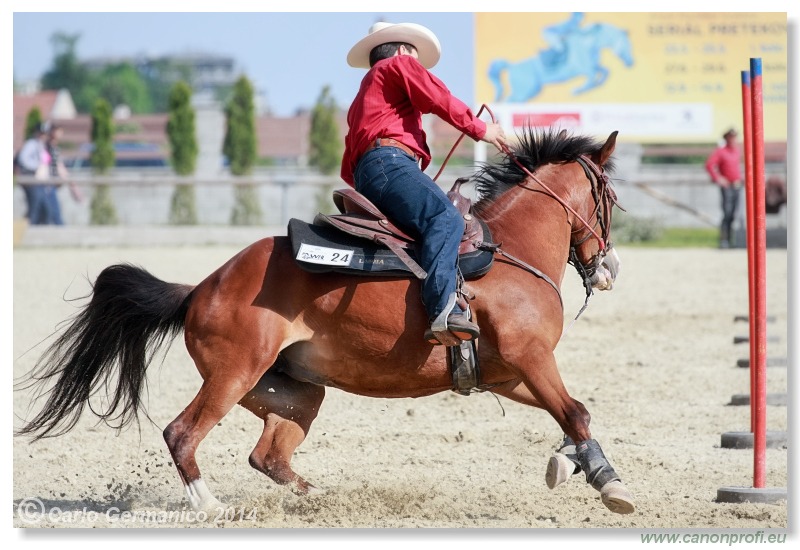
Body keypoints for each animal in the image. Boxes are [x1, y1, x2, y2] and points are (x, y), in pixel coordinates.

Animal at [15, 128, 636, 516]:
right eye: (610, 197)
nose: (609, 268)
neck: (510, 250)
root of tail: (202, 288)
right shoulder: (532, 358)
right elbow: (576, 412)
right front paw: (610, 485)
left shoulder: (507, 372)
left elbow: (571, 414)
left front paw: (570, 463)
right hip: (232, 376)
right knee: (182, 433)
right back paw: (213, 506)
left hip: (294, 392)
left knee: (268, 456)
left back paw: (321, 499)